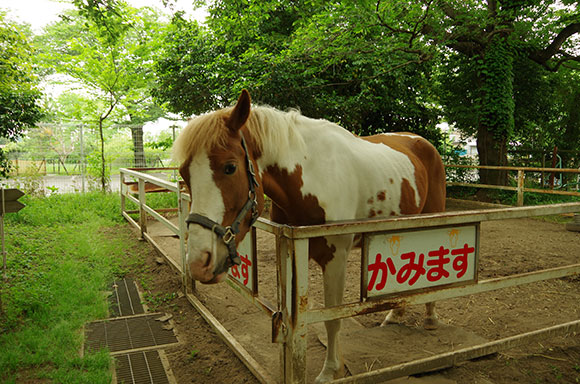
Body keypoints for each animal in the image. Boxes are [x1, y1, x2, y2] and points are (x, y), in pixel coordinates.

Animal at [174, 89, 446, 380]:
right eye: (183, 173)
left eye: (229, 167)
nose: (199, 263)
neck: (313, 177)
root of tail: (422, 143)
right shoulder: (290, 250)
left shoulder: (336, 259)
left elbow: (332, 319)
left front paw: (331, 371)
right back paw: (395, 315)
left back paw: (431, 318)